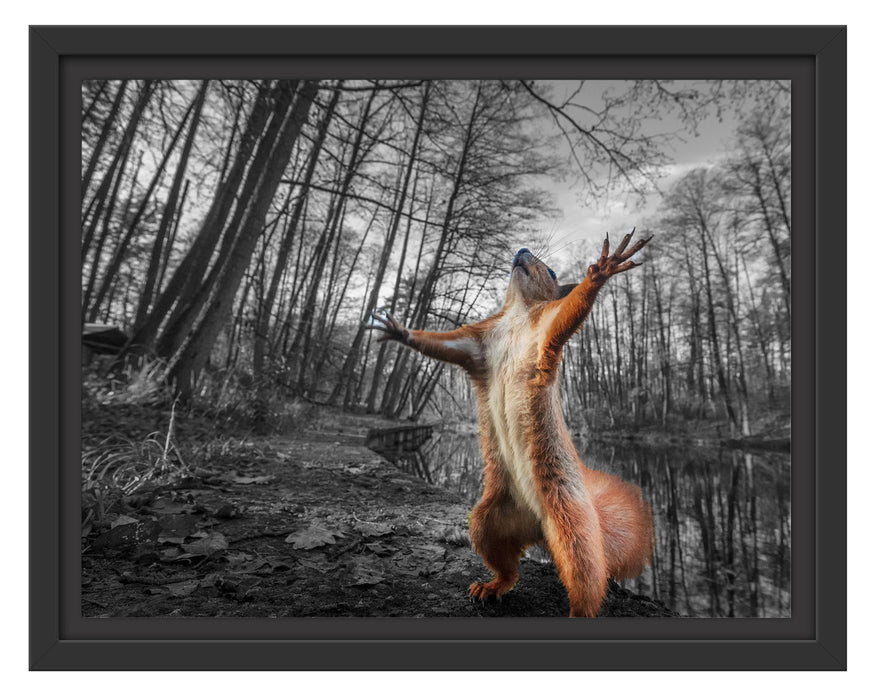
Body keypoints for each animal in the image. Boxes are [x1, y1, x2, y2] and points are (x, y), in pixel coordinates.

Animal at [370, 231, 655, 617]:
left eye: (551, 270)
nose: (521, 251)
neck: (518, 313)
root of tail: (539, 528)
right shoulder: (476, 344)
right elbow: (441, 345)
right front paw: (400, 331)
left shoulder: (547, 327)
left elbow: (571, 311)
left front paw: (601, 271)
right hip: (489, 521)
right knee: (508, 567)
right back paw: (491, 586)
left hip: (573, 526)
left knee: (585, 579)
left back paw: (576, 610)